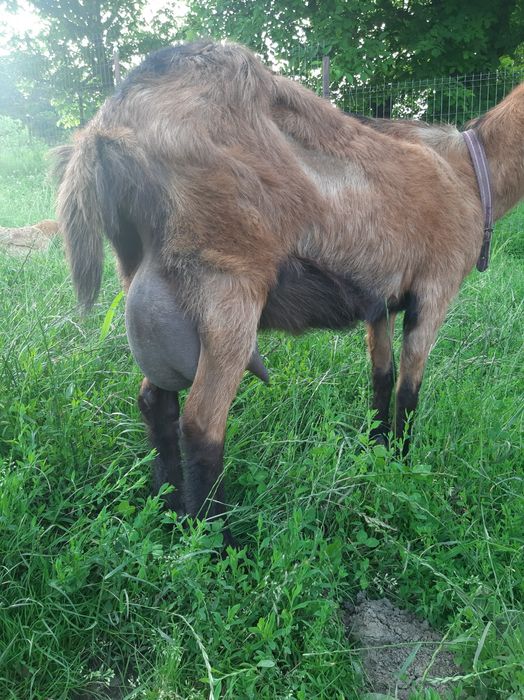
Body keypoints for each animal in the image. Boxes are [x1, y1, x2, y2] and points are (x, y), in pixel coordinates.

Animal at [54, 41, 524, 524]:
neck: (470, 173)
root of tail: (106, 125)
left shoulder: (380, 301)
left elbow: (382, 376)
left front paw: (377, 455)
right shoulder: (435, 289)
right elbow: (409, 391)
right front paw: (404, 466)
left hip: (148, 286)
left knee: (155, 400)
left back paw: (169, 509)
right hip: (228, 285)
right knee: (202, 423)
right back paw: (216, 537)